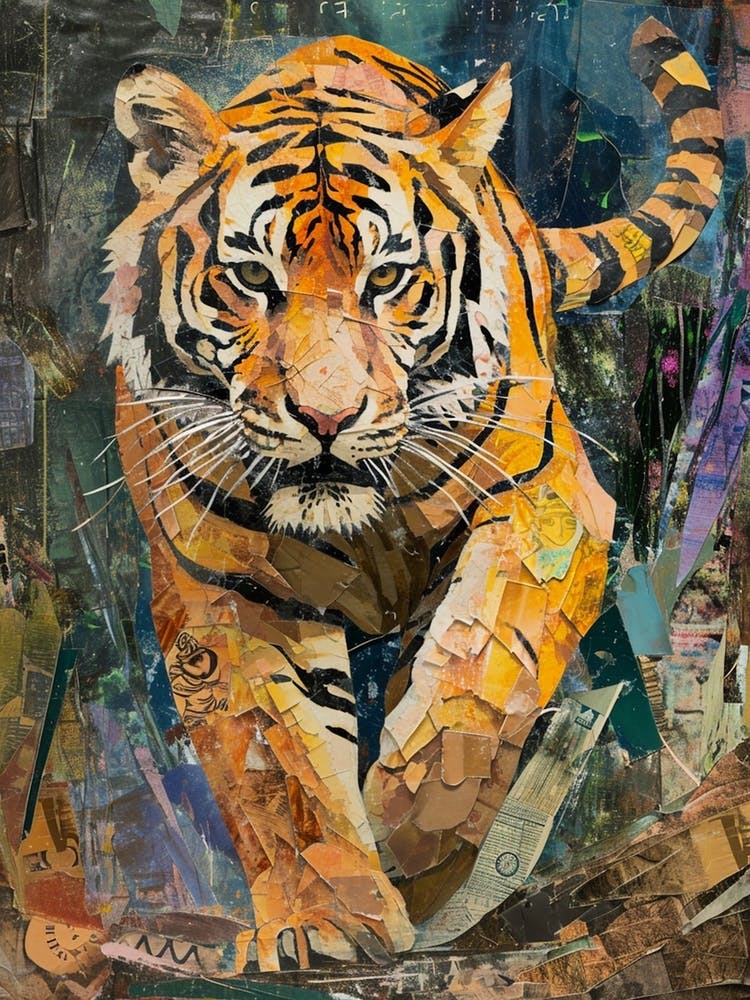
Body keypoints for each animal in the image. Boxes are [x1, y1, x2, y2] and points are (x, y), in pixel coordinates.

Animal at [102, 18, 723, 972]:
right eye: (252, 280)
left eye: (388, 281)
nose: (325, 415)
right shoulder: (220, 584)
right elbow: (277, 763)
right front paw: (327, 922)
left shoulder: (549, 509)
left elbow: (475, 685)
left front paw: (411, 848)